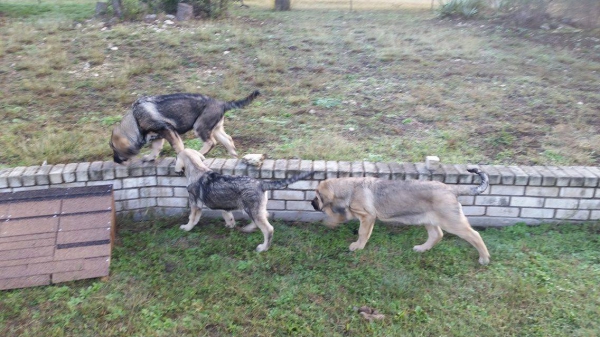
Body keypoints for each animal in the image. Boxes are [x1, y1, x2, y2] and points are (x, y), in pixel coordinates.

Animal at [109, 89, 258, 163]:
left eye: (115, 149)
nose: (115, 161)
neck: (135, 119)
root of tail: (222, 103)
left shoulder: (168, 131)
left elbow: (178, 147)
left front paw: (182, 156)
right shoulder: (159, 136)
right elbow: (156, 148)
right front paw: (150, 158)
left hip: (200, 126)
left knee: (211, 142)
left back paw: (199, 153)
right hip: (216, 128)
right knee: (228, 140)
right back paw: (234, 158)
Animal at [175, 148, 312, 251]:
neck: (197, 168)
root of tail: (261, 184)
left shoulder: (195, 204)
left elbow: (192, 218)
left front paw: (186, 228)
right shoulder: (224, 206)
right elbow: (227, 216)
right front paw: (230, 225)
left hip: (252, 210)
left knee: (268, 229)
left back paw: (263, 248)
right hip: (256, 209)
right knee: (264, 217)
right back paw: (248, 228)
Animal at [312, 167, 490, 264]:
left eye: (317, 196)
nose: (312, 203)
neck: (350, 188)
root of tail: (452, 189)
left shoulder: (367, 217)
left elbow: (362, 233)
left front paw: (358, 246)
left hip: (452, 221)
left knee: (474, 235)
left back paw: (484, 258)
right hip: (428, 219)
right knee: (436, 235)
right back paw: (422, 248)